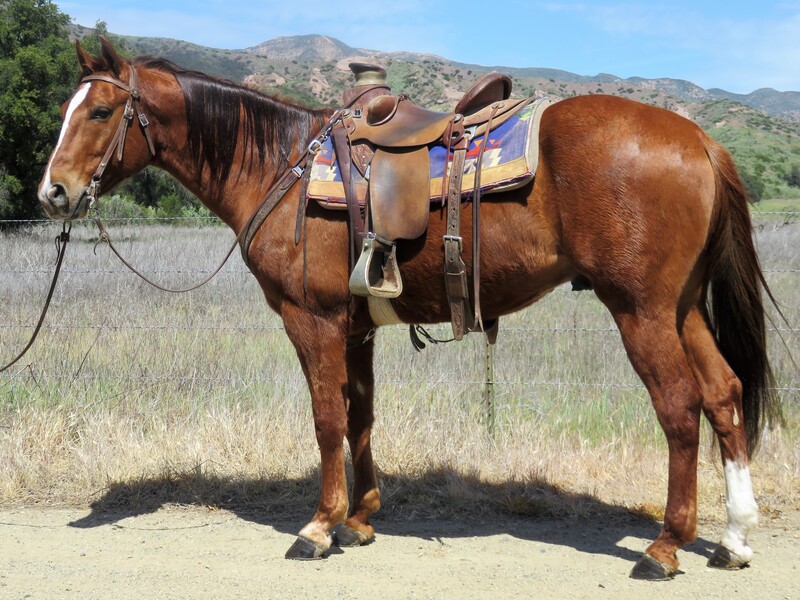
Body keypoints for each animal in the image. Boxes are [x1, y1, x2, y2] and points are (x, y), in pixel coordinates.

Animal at [34, 38, 780, 580]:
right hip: (682, 308)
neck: (282, 166)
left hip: (641, 310)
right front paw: (360, 520)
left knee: (680, 406)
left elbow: (327, 419)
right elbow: (361, 417)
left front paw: (318, 527)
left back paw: (665, 547)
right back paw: (735, 539)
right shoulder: (356, 327)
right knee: (724, 394)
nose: (53, 192)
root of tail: (702, 141)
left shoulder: (312, 320)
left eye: (99, 113)